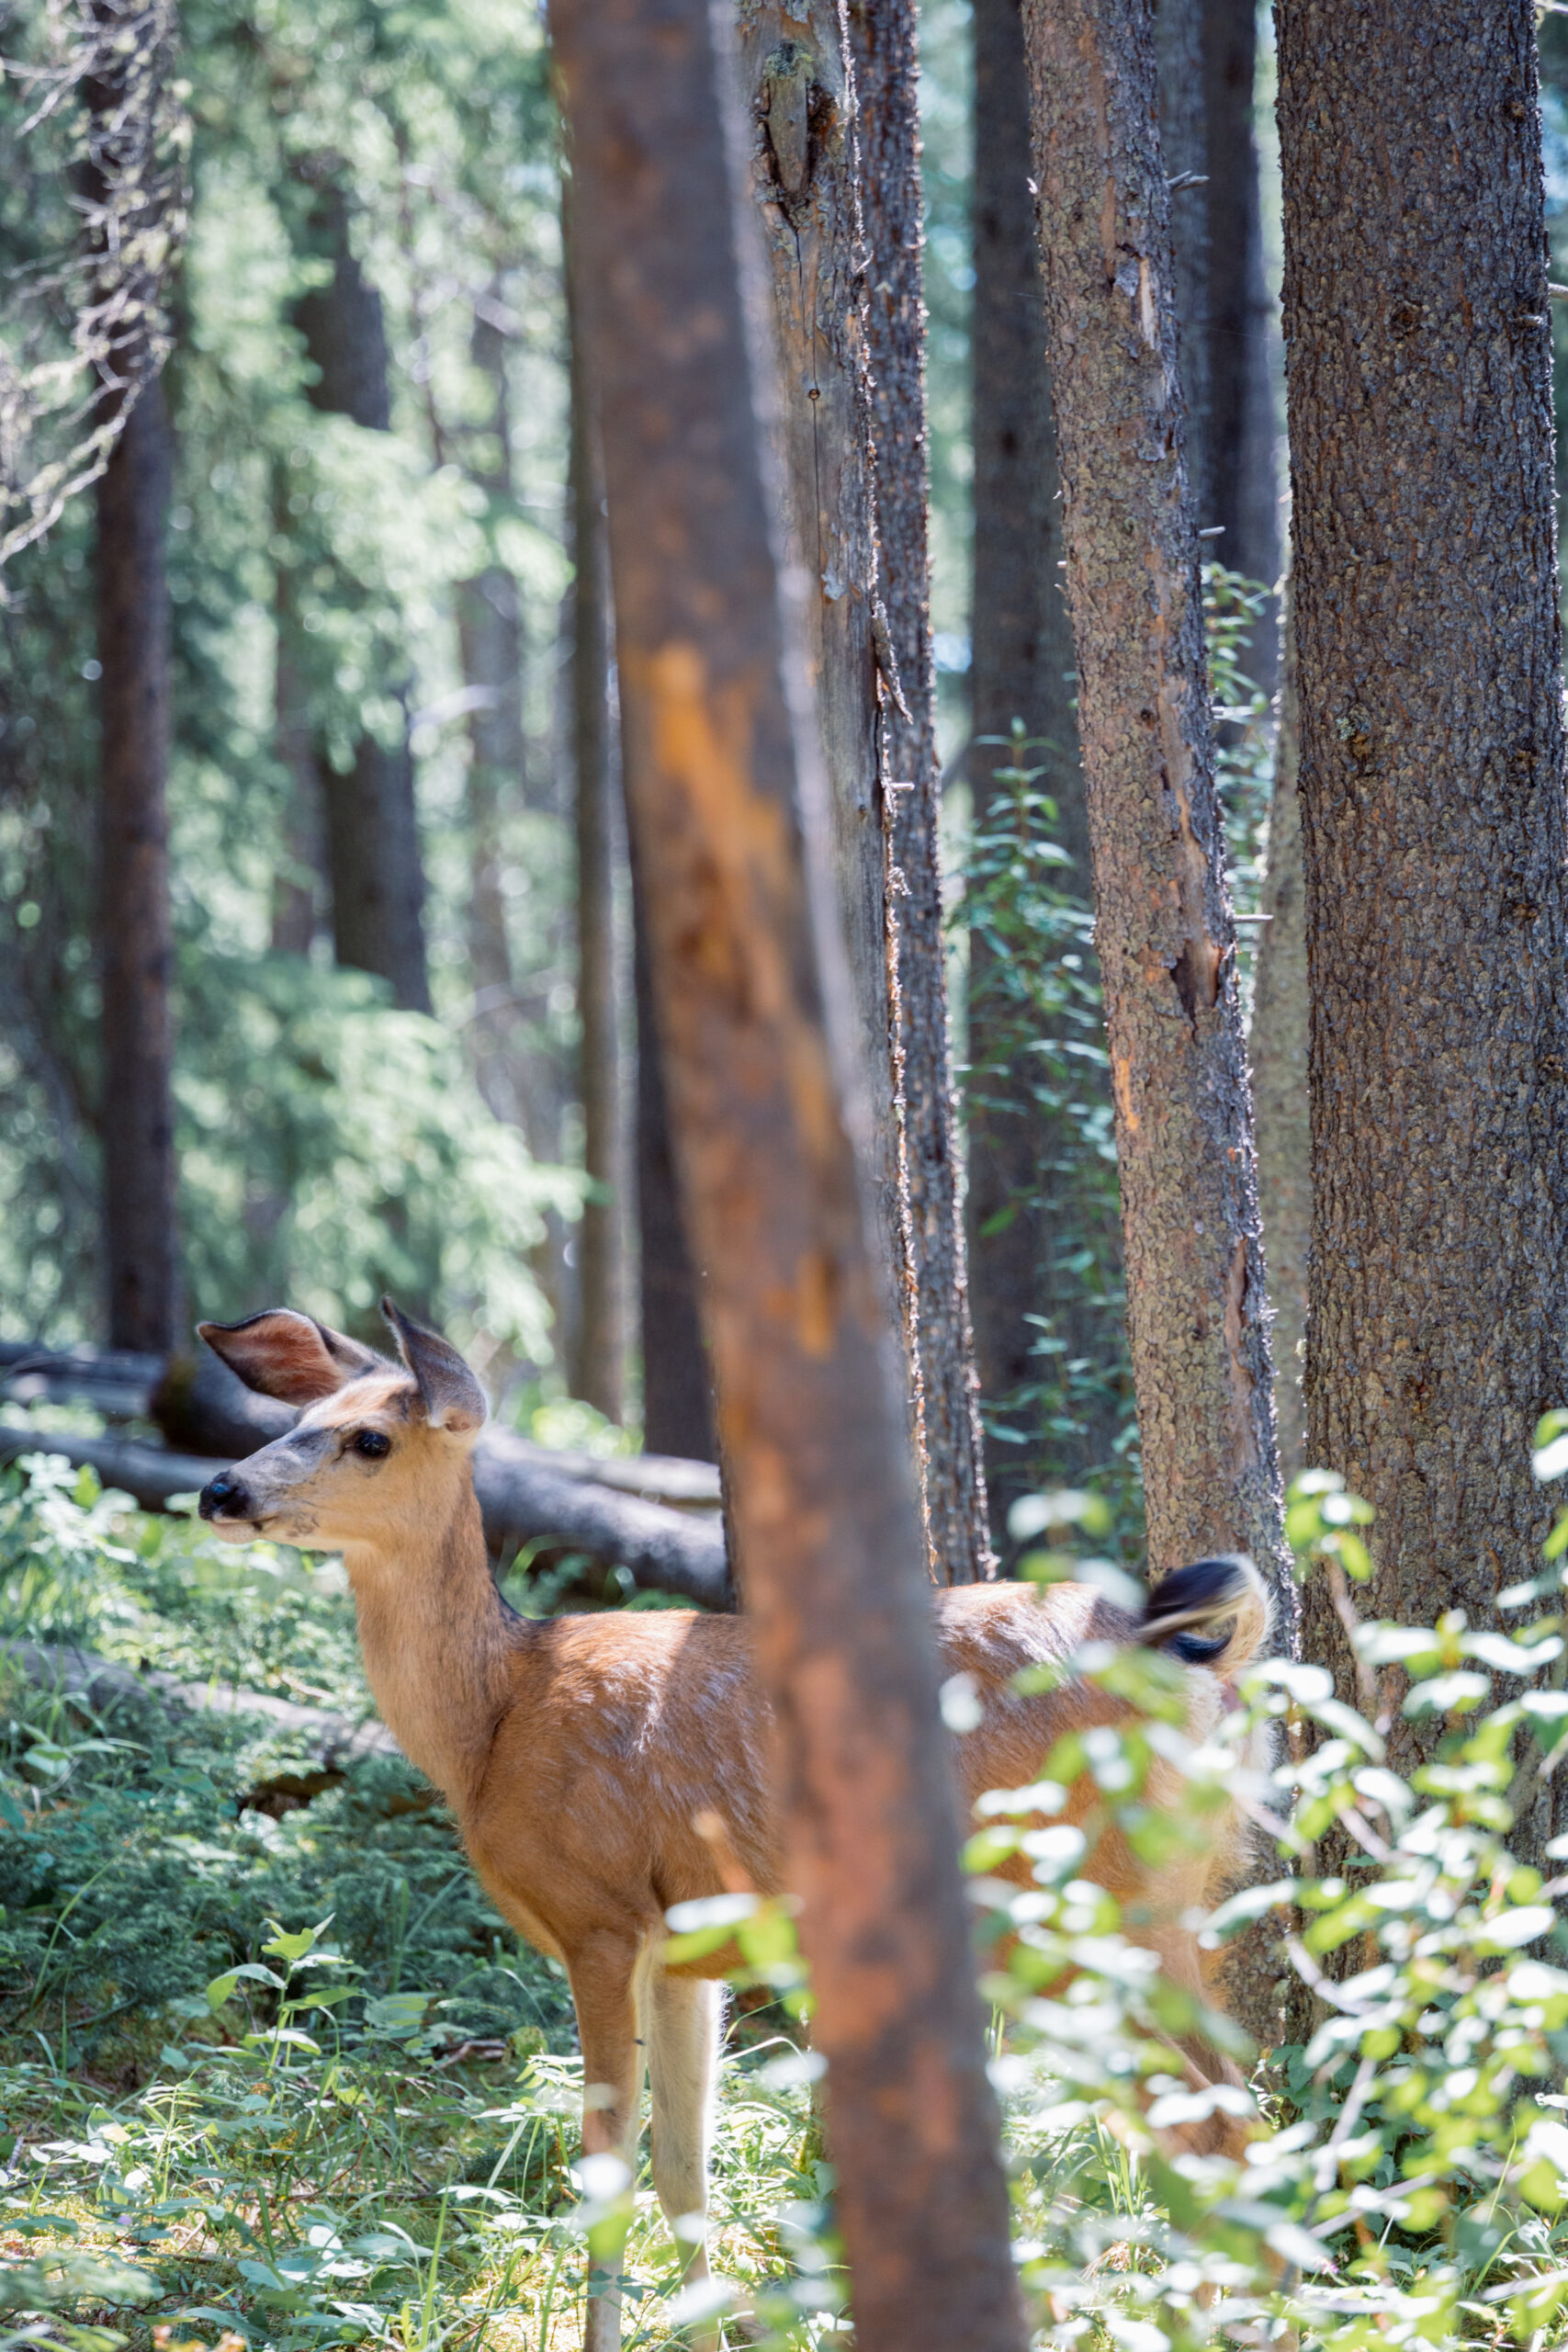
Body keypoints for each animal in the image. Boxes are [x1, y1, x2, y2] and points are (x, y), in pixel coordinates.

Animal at [196, 1298, 1279, 2352]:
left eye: (370, 1439)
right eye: (295, 1419)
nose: (219, 1490)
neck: (492, 1720)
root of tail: (1187, 1660)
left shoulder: (600, 1916)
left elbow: (608, 2178)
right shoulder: (686, 1947)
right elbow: (686, 2170)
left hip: (1068, 1906)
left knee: (1203, 2125)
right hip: (1168, 1909)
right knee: (1237, 2106)